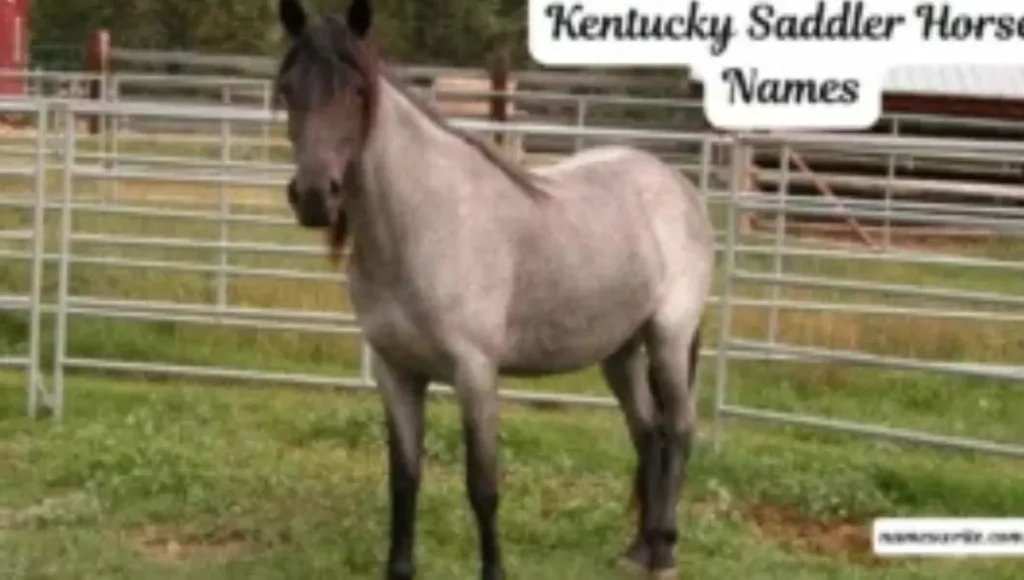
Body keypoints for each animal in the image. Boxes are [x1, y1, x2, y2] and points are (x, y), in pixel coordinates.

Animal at [273, 1, 716, 578]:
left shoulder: (476, 373)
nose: (313, 197)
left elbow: (482, 486)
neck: (423, 223)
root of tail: (676, 183)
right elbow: (404, 479)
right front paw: (400, 569)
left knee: (680, 429)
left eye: (357, 91)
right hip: (619, 351)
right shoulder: (397, 372)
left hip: (668, 337)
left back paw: (662, 550)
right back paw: (639, 548)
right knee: (648, 432)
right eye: (287, 89)